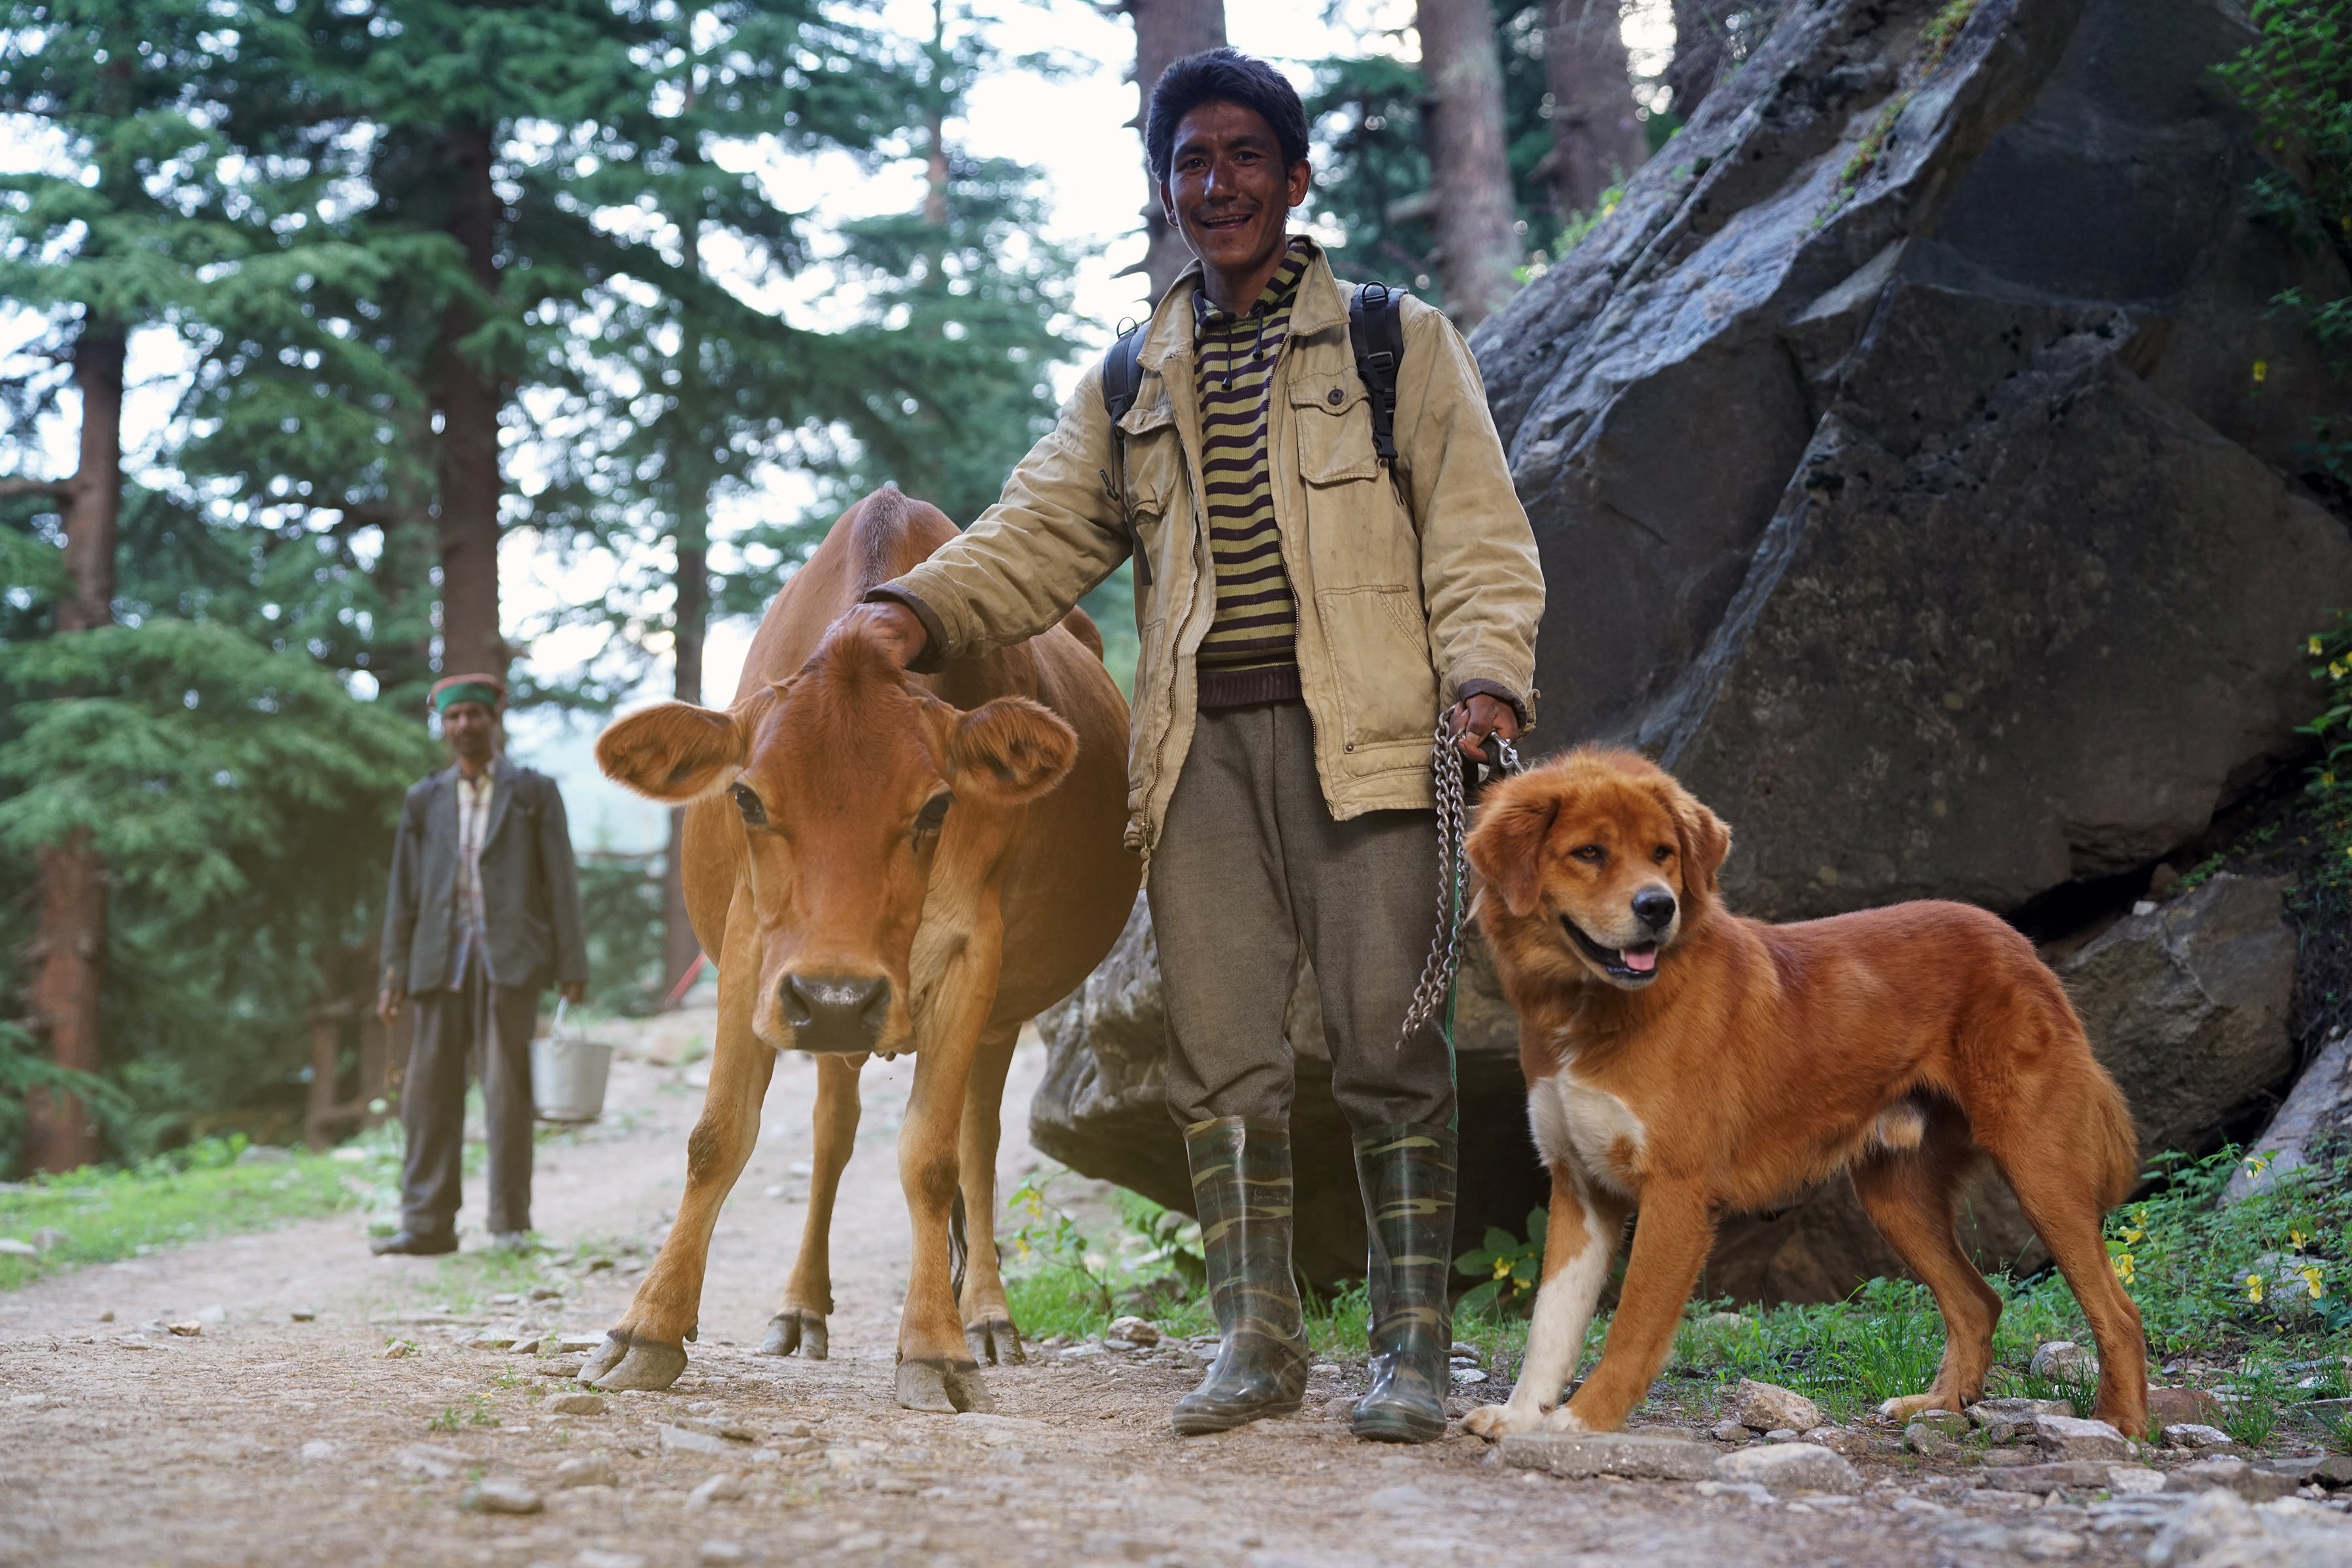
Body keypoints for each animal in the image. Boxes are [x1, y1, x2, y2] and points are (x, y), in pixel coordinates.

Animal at [585, 486, 1138, 1410]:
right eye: (746, 799)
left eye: (936, 807)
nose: (836, 998)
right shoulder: (752, 947)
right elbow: (717, 1138)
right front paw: (649, 1326)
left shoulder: (973, 952)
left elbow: (931, 1158)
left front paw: (935, 1347)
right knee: (831, 1135)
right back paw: (800, 1307)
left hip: (988, 1013)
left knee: (977, 1141)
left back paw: (987, 1316)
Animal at [1467, 752, 2154, 1439]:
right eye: (1589, 853)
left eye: (1663, 853)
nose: (1658, 907)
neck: (1586, 1010)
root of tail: (2018, 944)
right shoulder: (1581, 1188)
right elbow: (1551, 1323)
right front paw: (1521, 1415)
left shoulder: (1675, 1193)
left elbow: (1631, 1330)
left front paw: (1582, 1424)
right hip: (1896, 1197)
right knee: (1978, 1301)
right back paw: (1936, 1405)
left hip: (2040, 1170)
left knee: (2117, 1311)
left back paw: (2119, 1423)